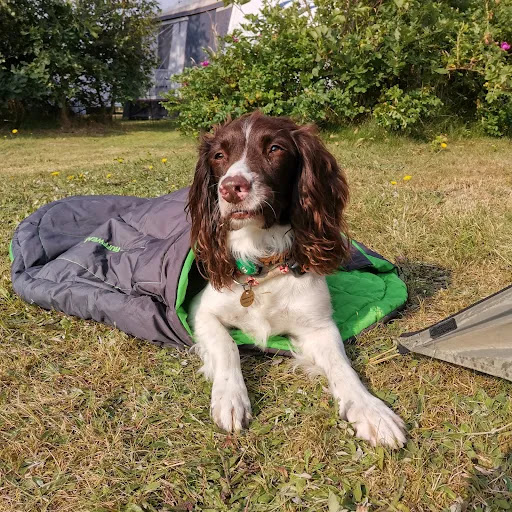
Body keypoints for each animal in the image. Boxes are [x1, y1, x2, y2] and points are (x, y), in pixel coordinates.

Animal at [187, 112, 406, 448]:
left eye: (275, 149)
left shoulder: (319, 326)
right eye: (219, 156)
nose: (230, 188)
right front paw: (230, 397)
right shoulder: (201, 311)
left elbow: (342, 366)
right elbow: (227, 345)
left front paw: (372, 410)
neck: (262, 262)